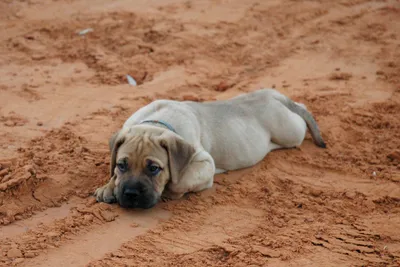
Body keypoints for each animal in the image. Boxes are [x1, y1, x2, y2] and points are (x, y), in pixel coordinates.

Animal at [95, 89, 326, 208]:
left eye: (154, 169)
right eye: (121, 165)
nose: (131, 193)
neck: (156, 123)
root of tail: (271, 94)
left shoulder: (204, 162)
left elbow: (181, 180)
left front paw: (171, 189)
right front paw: (108, 187)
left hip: (290, 131)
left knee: (301, 111)